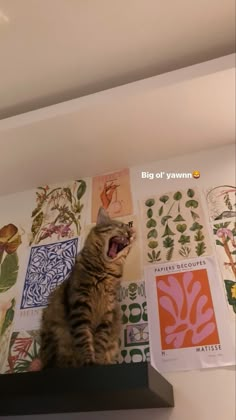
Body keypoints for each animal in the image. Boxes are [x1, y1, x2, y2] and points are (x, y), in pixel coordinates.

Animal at [39, 207, 136, 368]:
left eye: (131, 230)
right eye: (121, 226)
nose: (131, 233)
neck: (104, 273)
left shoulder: (107, 314)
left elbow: (100, 343)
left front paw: (99, 361)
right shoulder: (80, 307)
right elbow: (84, 340)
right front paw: (90, 362)